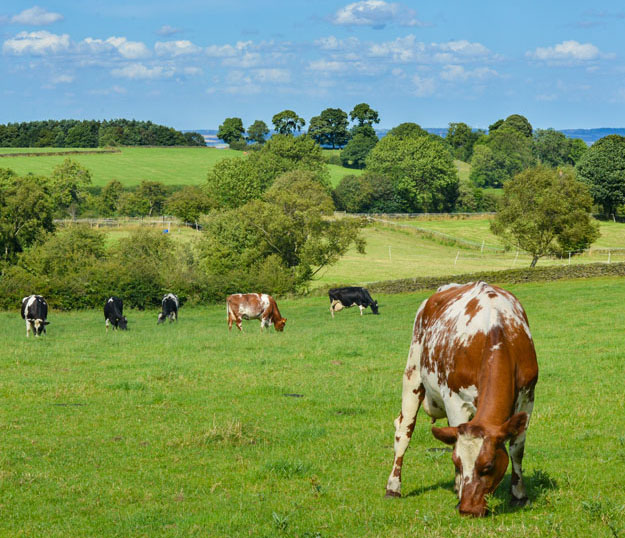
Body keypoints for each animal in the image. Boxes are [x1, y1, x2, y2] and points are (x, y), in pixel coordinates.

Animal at [386, 280, 536, 516]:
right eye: (457, 462)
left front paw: (519, 495)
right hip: (412, 373)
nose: (467, 509)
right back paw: (393, 487)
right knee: (403, 431)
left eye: (488, 466)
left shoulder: (528, 397)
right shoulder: (455, 400)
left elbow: (517, 449)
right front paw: (459, 491)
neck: (497, 331)